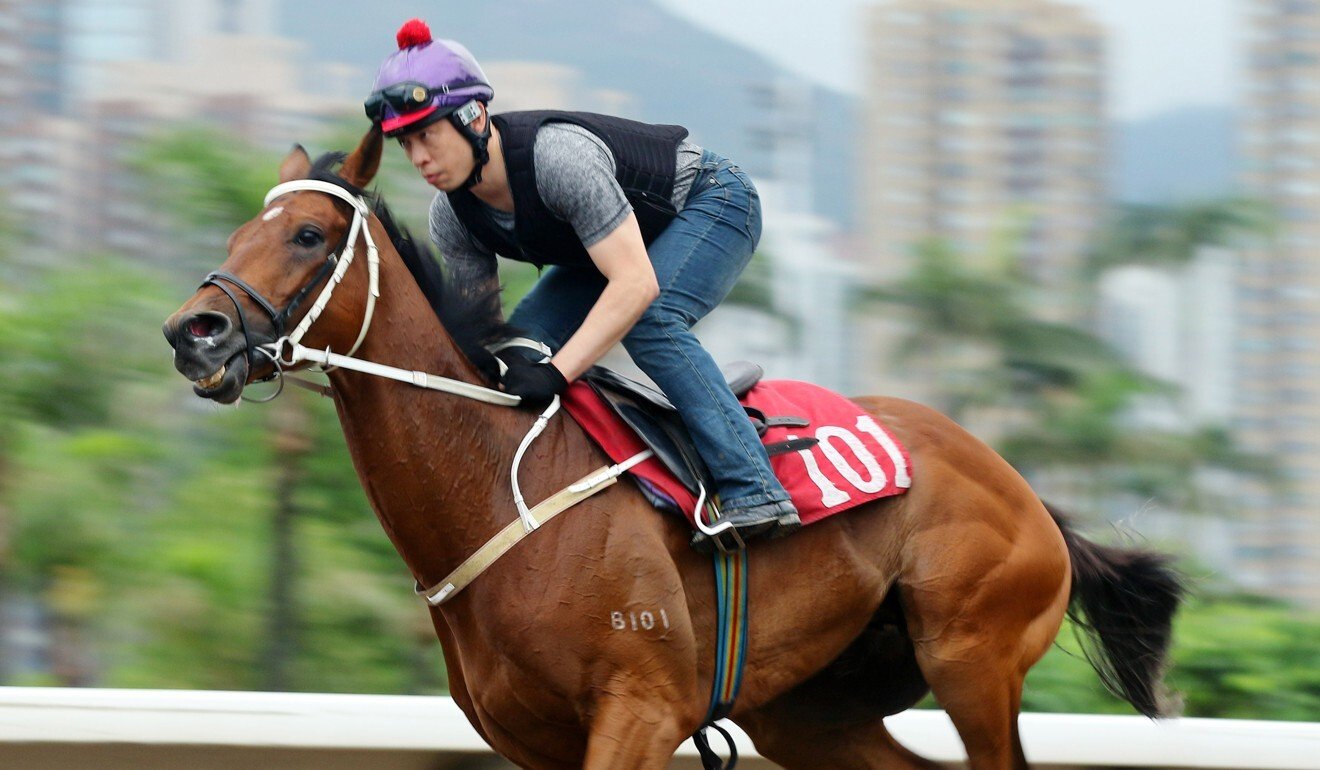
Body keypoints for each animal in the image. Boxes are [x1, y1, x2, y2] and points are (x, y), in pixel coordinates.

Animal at [159, 128, 1182, 770]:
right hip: (809, 711)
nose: (193, 331)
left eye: (307, 233)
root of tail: (1029, 496)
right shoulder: (536, 739)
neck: (497, 487)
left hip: (973, 658)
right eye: (238, 232)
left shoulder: (641, 709)